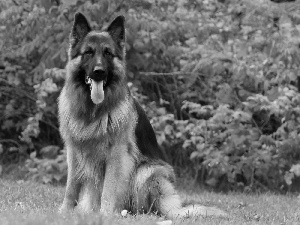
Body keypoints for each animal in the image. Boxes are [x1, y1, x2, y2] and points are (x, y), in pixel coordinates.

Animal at [58, 12, 227, 220]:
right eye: (88, 52)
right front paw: (65, 212)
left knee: (147, 208)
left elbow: (109, 188)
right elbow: (71, 188)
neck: (93, 112)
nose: (99, 72)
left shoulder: (116, 155)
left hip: (147, 171)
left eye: (107, 53)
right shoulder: (74, 153)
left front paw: (105, 215)